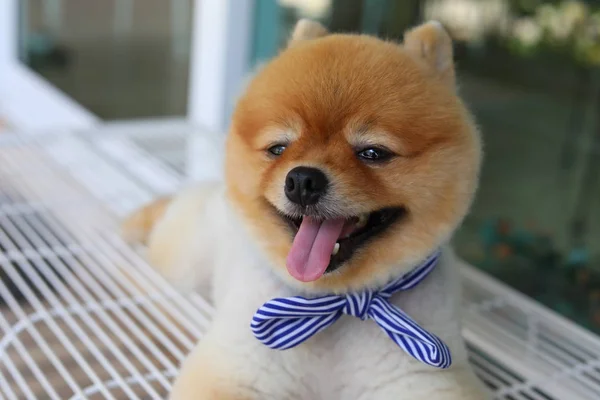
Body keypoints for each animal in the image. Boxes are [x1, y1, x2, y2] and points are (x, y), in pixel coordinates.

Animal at [120, 19, 488, 400]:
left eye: (373, 153)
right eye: (278, 148)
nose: (302, 180)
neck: (333, 304)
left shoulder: (424, 378)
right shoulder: (237, 369)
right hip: (184, 261)